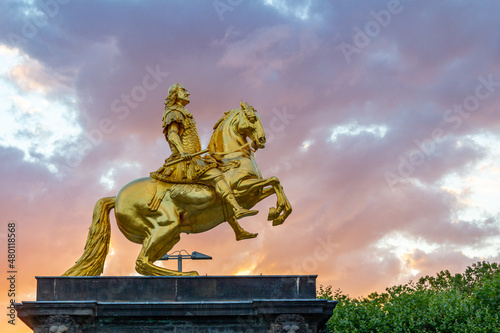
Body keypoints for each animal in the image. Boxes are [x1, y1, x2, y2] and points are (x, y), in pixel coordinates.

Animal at [62, 102, 292, 276]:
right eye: (252, 118)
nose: (262, 140)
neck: (231, 159)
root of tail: (115, 197)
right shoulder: (242, 190)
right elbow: (273, 180)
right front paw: (274, 212)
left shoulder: (253, 194)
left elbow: (275, 184)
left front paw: (277, 213)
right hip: (166, 226)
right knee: (141, 262)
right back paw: (188, 273)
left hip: (170, 235)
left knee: (145, 262)